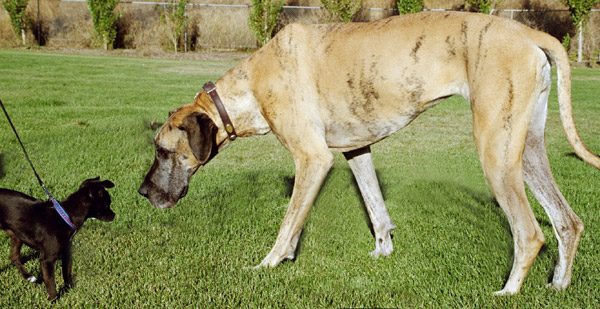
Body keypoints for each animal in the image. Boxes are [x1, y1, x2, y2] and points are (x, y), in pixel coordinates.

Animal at [137, 12, 600, 294]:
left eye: (162, 151)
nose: (142, 192)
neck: (249, 85)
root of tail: (526, 33)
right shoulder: (356, 151)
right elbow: (375, 206)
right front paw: (381, 252)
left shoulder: (313, 159)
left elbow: (289, 223)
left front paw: (269, 264)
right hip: (527, 149)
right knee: (567, 221)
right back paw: (559, 284)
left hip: (495, 151)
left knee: (530, 232)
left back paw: (508, 291)